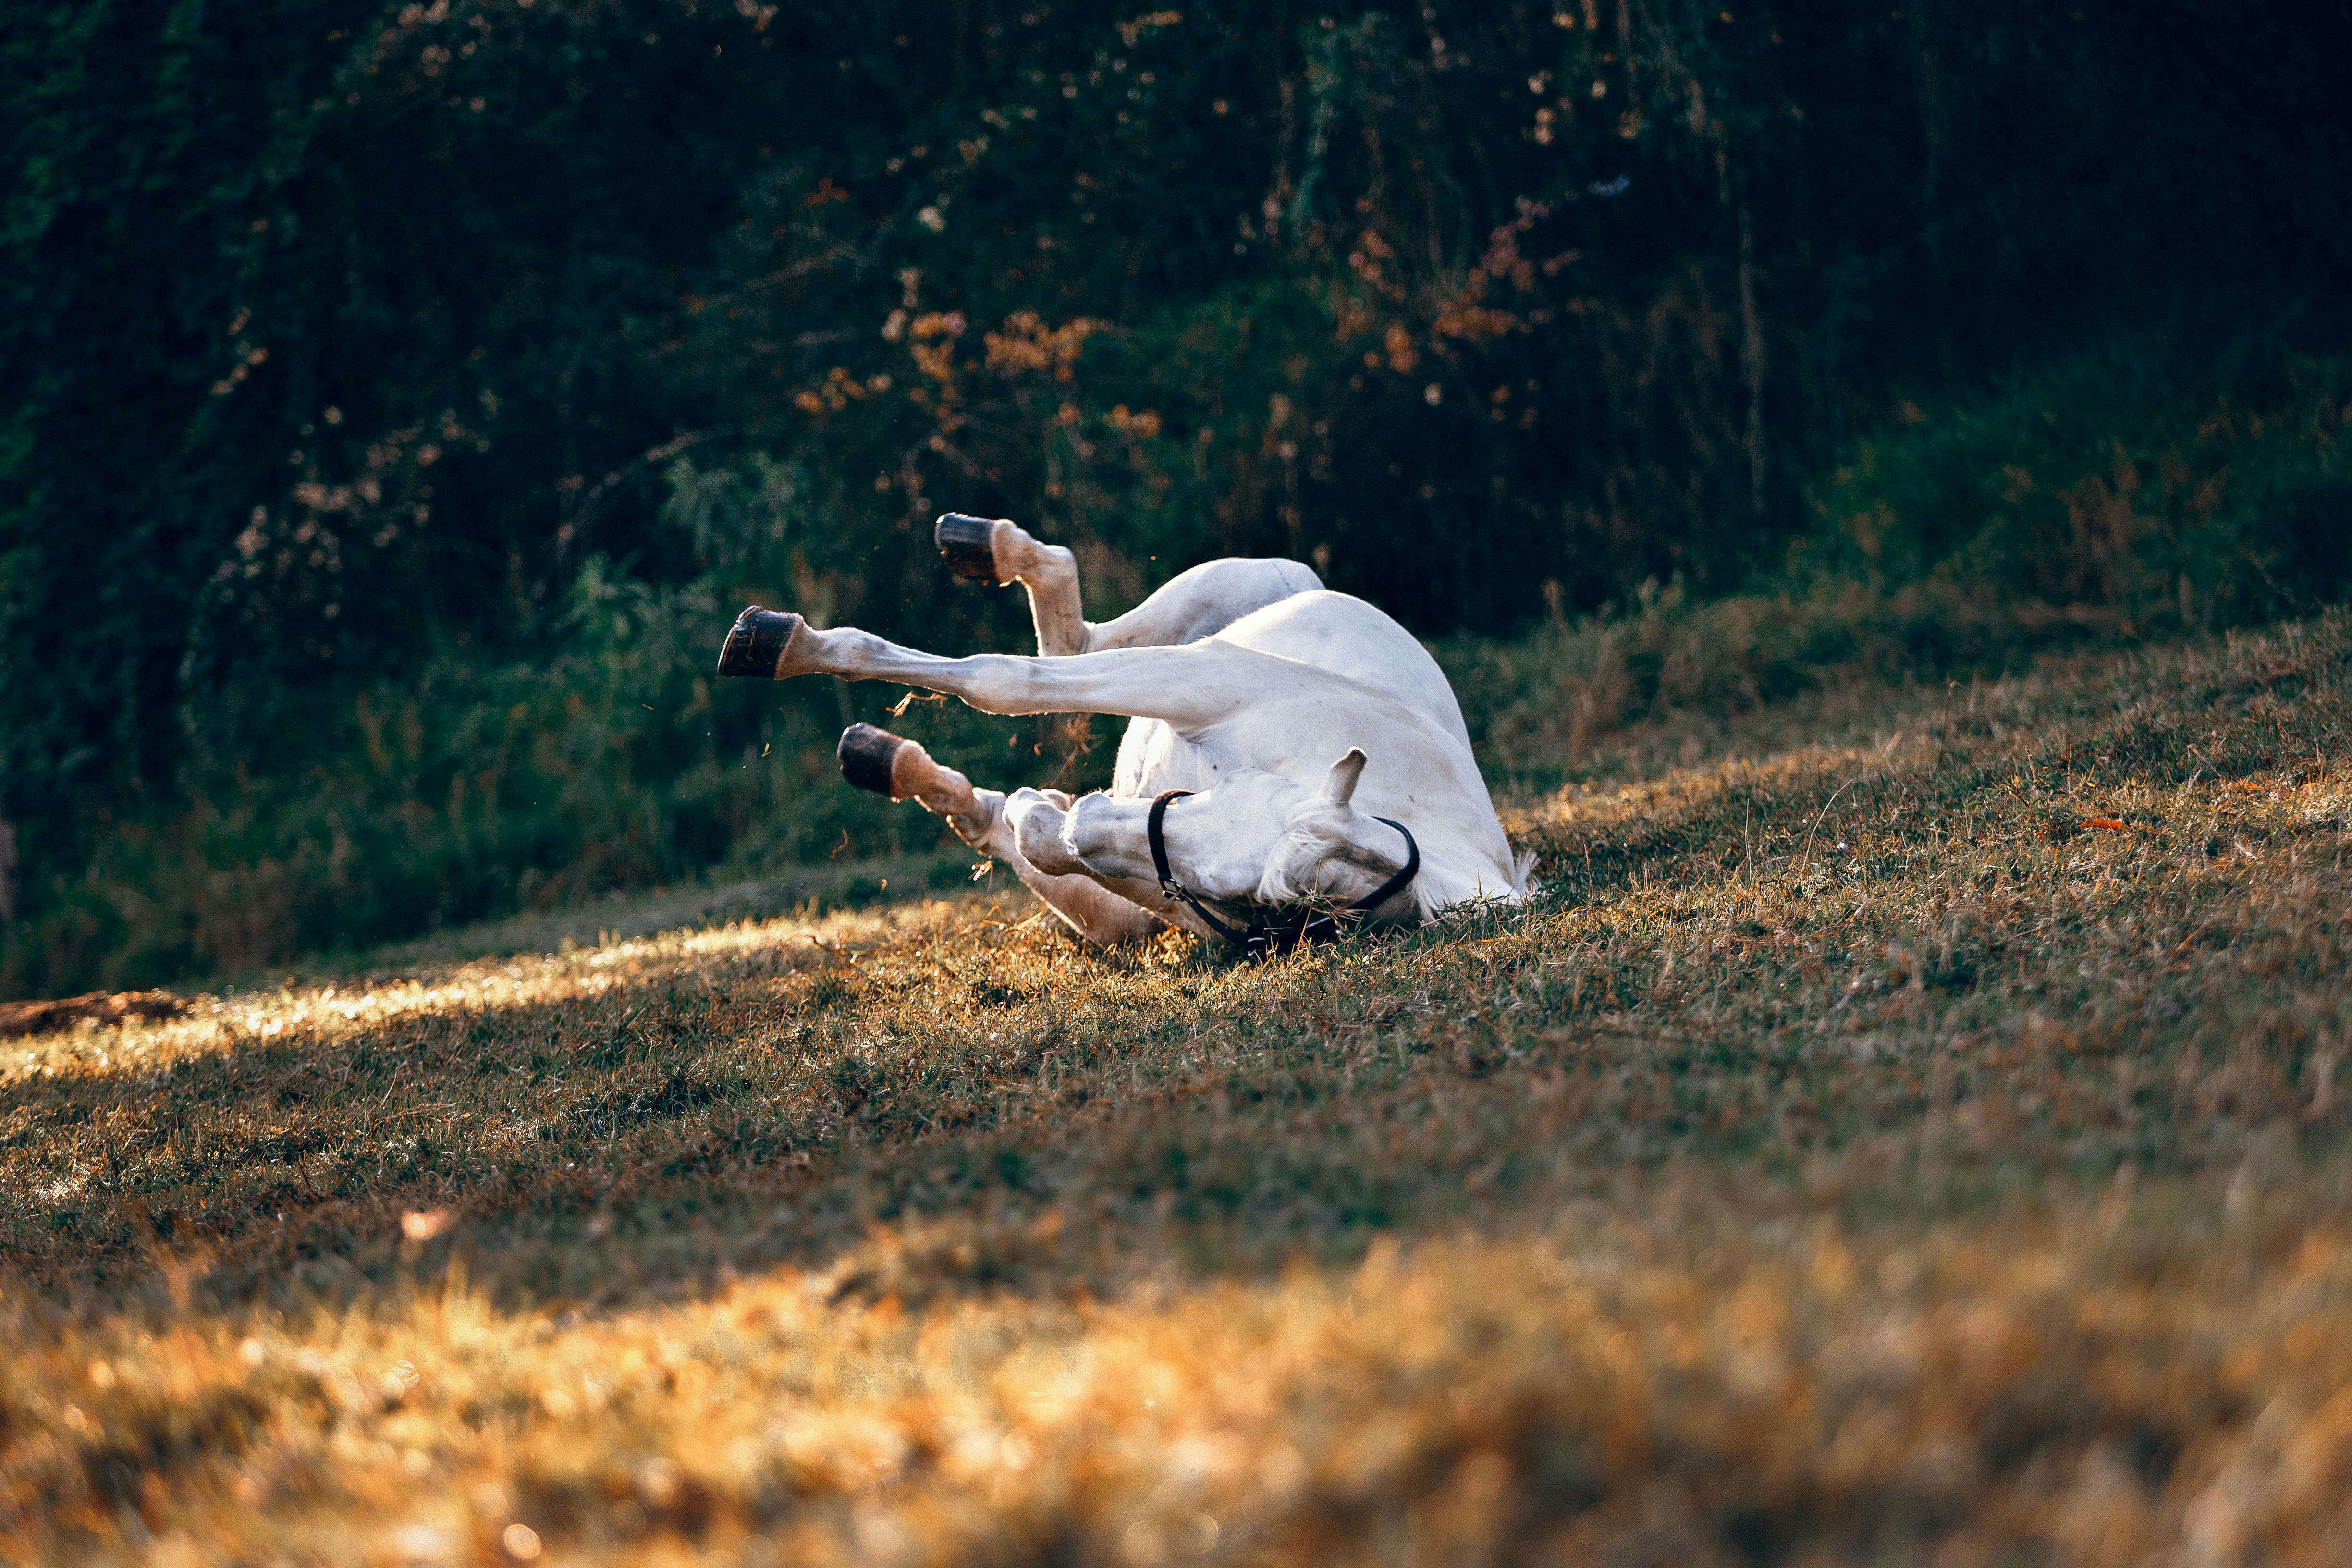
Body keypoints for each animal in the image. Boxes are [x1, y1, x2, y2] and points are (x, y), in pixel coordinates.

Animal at [717, 514, 1525, 953]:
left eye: (1258, 898)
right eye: (1248, 789)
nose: (1093, 816)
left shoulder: (1151, 878)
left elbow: (1038, 833)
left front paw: (1042, 814)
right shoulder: (1201, 682)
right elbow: (1005, 681)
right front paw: (800, 646)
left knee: (997, 809)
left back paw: (891, 760)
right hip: (1238, 594)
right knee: (1071, 638)